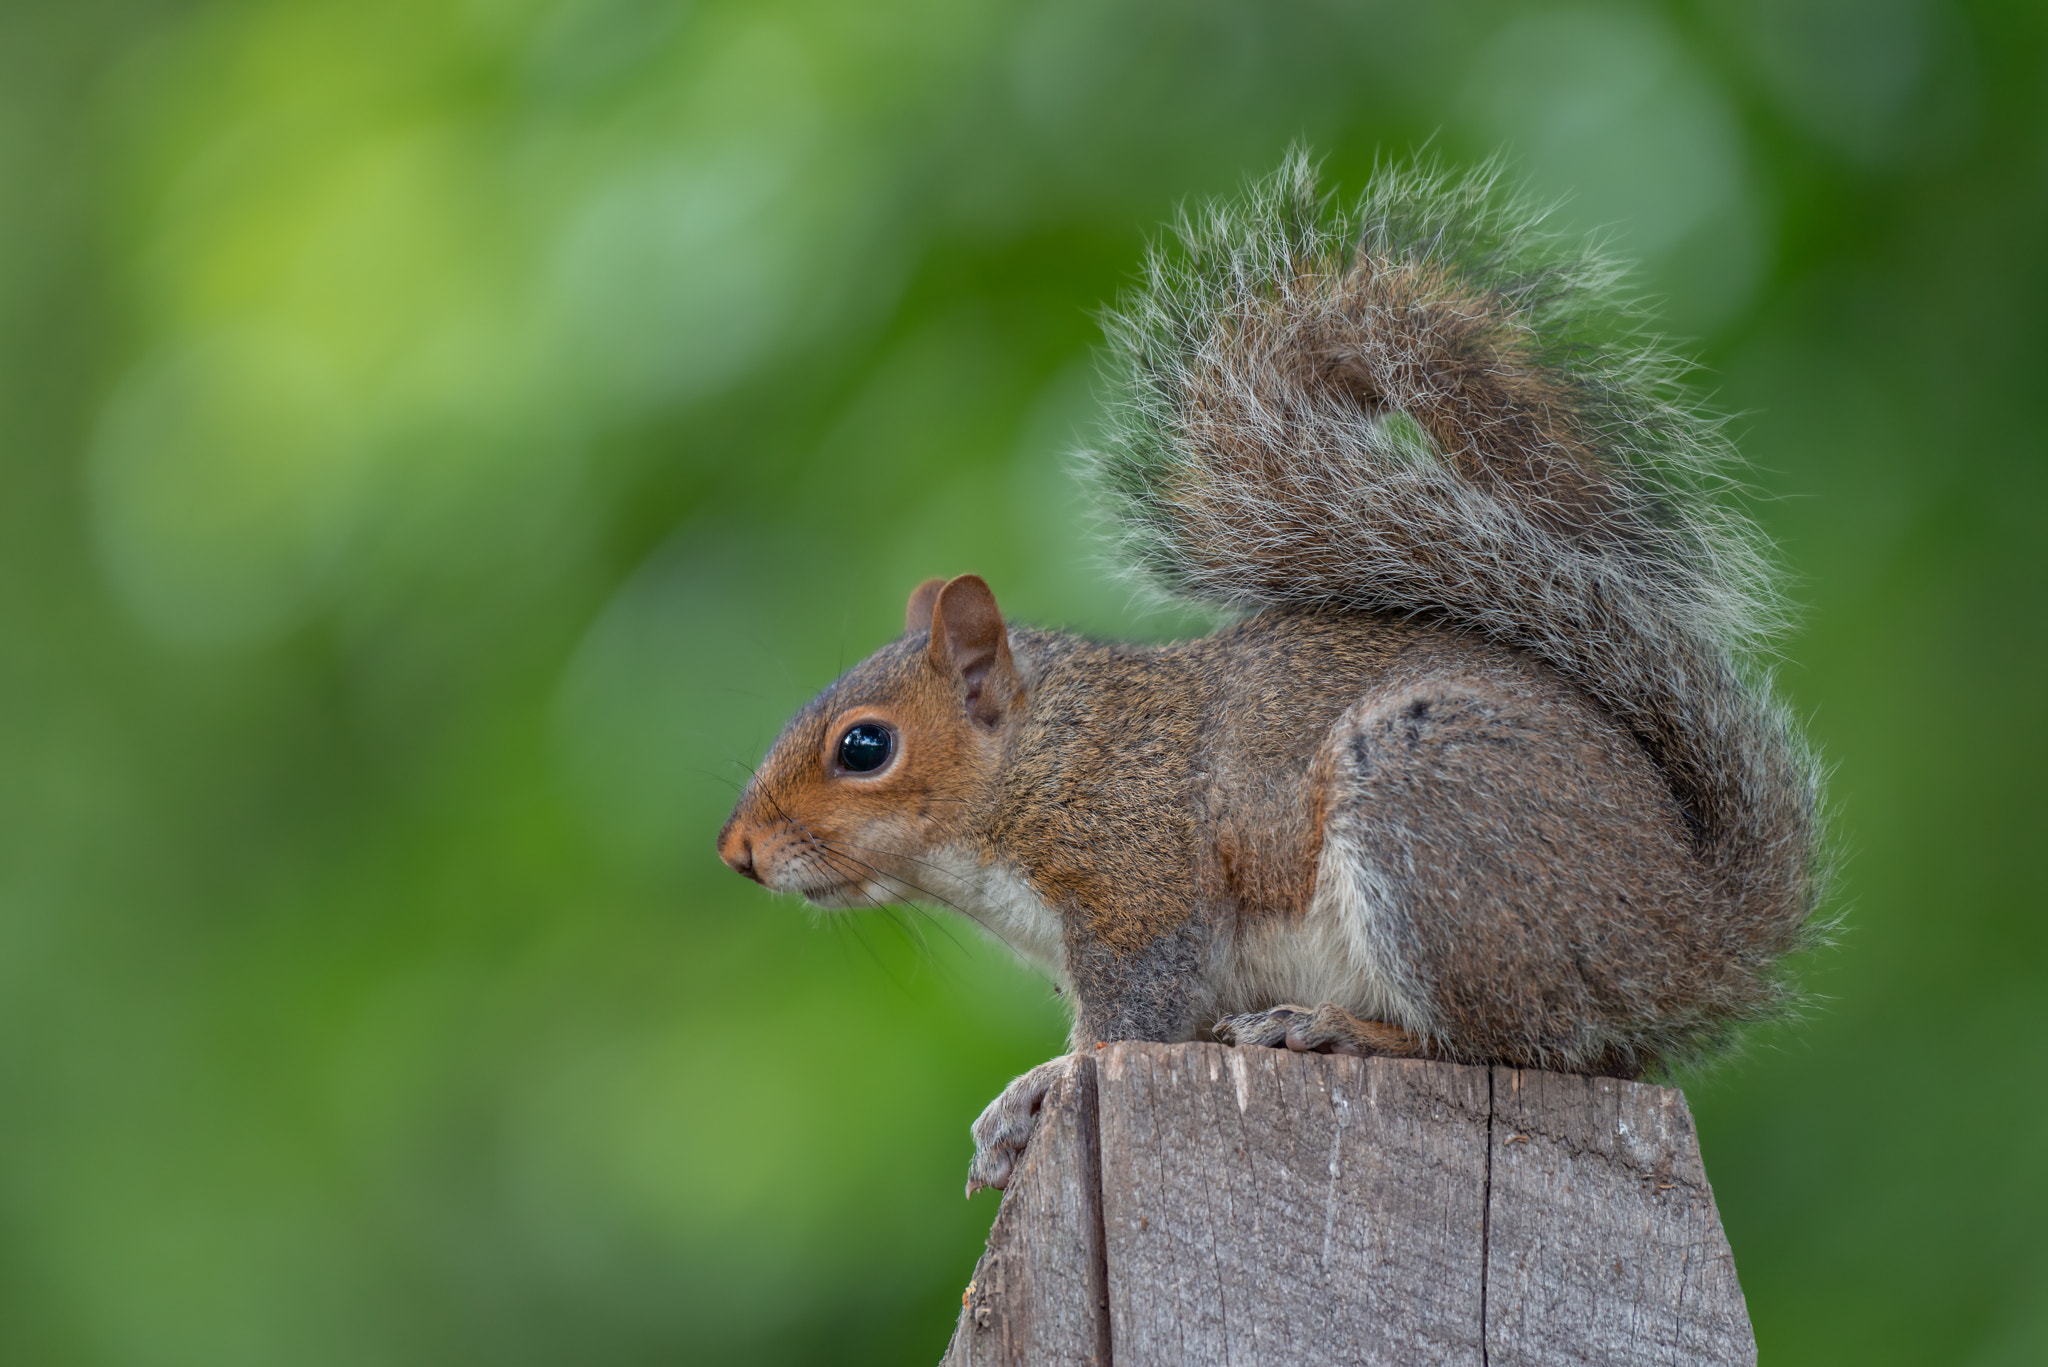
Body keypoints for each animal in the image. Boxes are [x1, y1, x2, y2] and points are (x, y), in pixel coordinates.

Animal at [716, 153, 1825, 1196]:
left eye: (864, 746)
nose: (738, 851)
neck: (1046, 758)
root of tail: (1694, 930)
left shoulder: (1143, 888)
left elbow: (1124, 1025)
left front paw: (1038, 1086)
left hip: (1436, 832)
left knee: (1515, 1046)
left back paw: (1330, 1027)